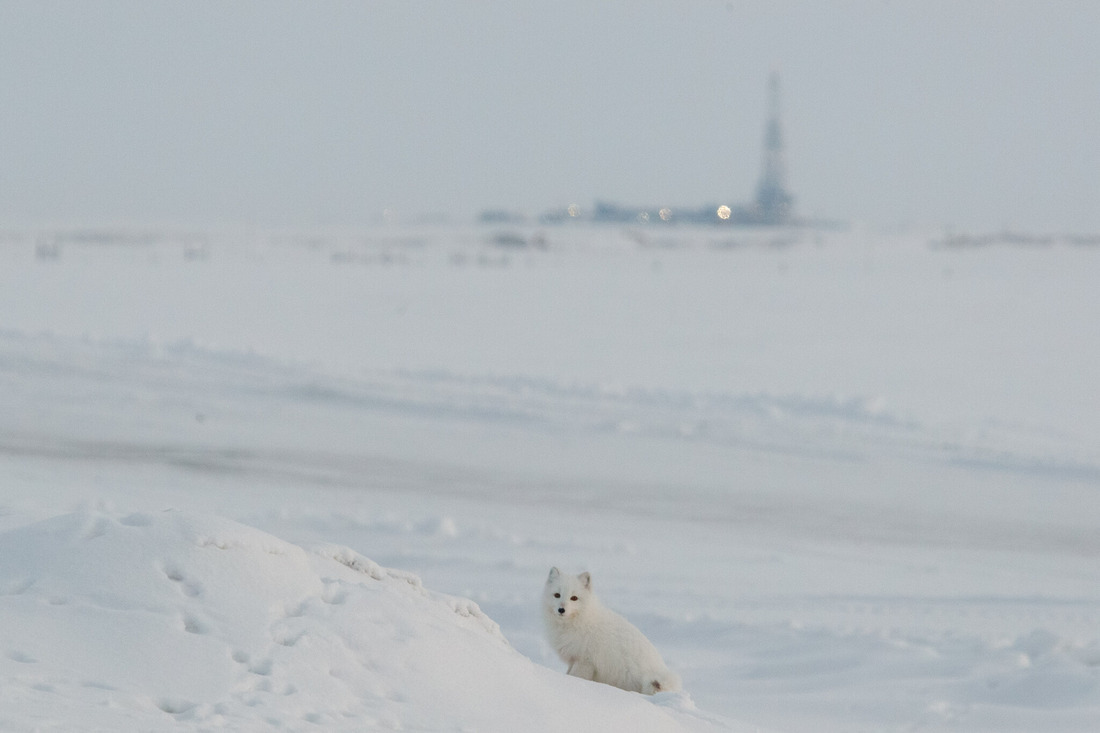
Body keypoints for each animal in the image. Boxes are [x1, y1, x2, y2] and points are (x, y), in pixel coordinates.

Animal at [541, 563, 677, 691]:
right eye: (557, 595)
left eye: (574, 598)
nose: (561, 609)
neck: (580, 621)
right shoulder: (574, 659)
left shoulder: (585, 661)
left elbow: (575, 676)